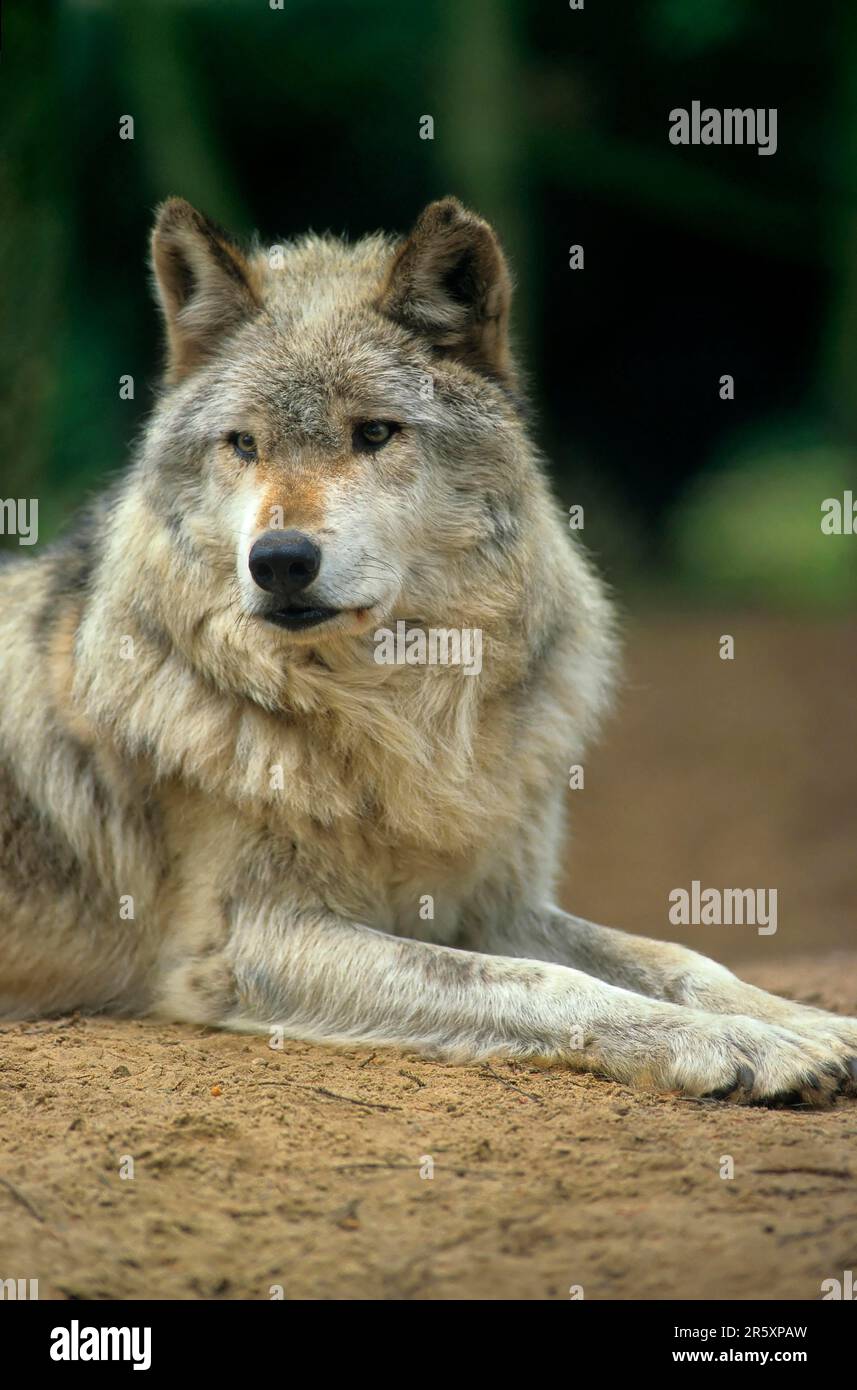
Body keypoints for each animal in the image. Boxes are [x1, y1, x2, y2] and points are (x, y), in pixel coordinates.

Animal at [1, 198, 855, 1106]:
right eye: (244, 445)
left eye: (375, 433)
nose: (278, 561)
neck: (395, 711)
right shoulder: (250, 942)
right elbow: (547, 983)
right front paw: (735, 1045)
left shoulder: (494, 904)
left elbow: (680, 956)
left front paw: (805, 1023)